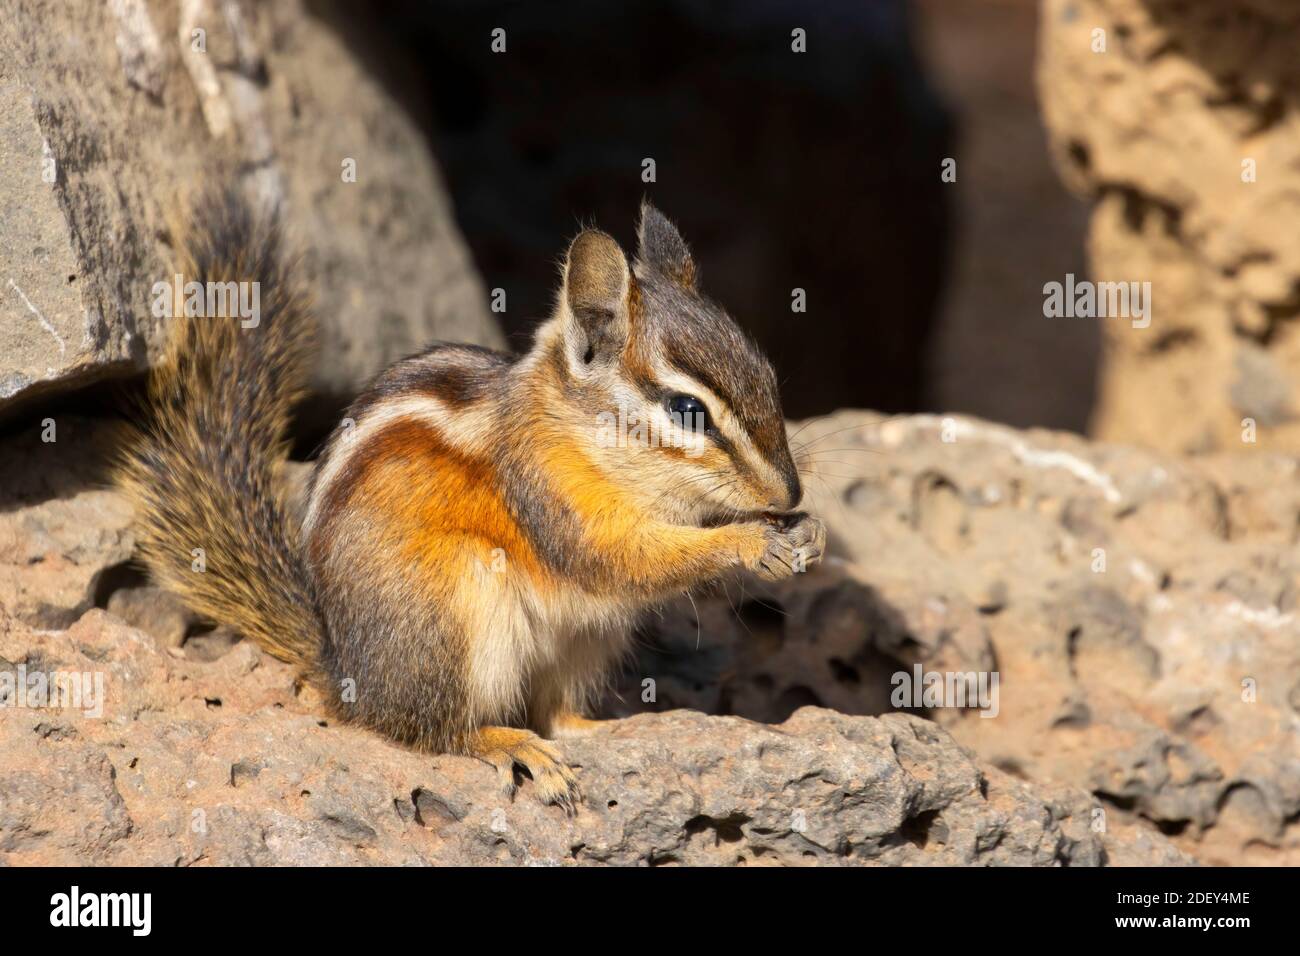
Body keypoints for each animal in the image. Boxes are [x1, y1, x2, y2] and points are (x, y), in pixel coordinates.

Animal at [116, 188, 825, 809]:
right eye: (686, 411)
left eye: (767, 375)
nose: (790, 490)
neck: (576, 432)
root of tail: (344, 672)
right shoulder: (551, 501)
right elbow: (624, 560)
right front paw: (750, 541)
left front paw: (806, 531)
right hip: (460, 604)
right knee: (427, 730)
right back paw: (510, 743)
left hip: (584, 641)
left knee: (554, 712)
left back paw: (604, 730)